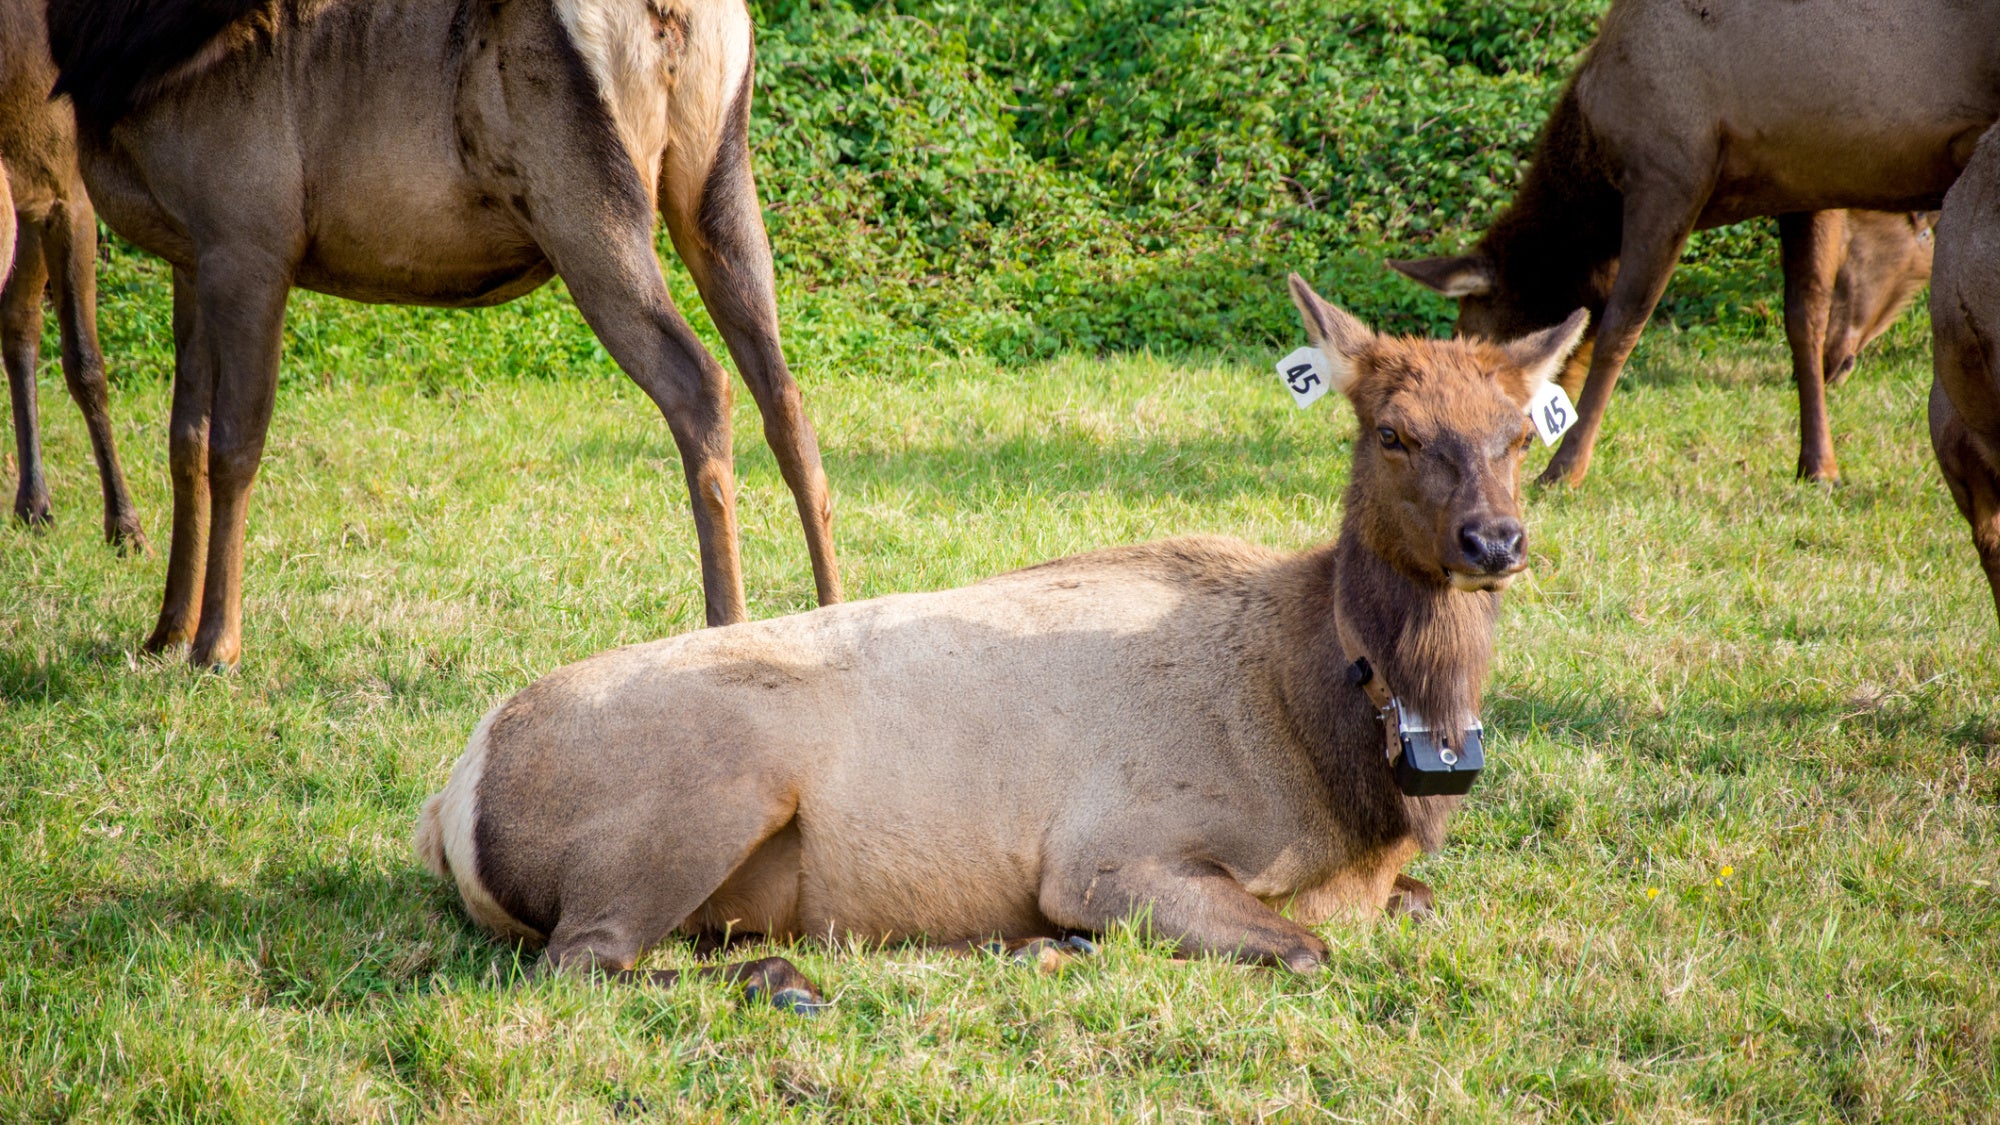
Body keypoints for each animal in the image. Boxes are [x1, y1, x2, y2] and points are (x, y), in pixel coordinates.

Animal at [45, 0, 844, 664]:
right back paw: (833, 609)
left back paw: (726, 630)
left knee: (702, 384)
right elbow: (185, 439)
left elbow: (234, 447)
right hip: (718, 183)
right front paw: (163, 631)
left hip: (582, 200)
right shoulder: (190, 253)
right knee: (785, 397)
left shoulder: (247, 236)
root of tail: (676, 16)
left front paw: (215, 645)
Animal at [414, 274, 1584, 1008]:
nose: (1495, 539)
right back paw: (791, 981)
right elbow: (1305, 948)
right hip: (712, 789)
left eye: (1518, 434)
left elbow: (1411, 908)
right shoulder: (1110, 855)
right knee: (584, 959)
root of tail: (451, 800)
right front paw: (1059, 949)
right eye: (1390, 432)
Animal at [1392, 3, 2000, 486]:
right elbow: (1804, 324)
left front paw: (1565, 470)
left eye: (1479, 344)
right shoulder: (1808, 182)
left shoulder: (1670, 171)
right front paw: (1819, 465)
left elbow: (1619, 329)